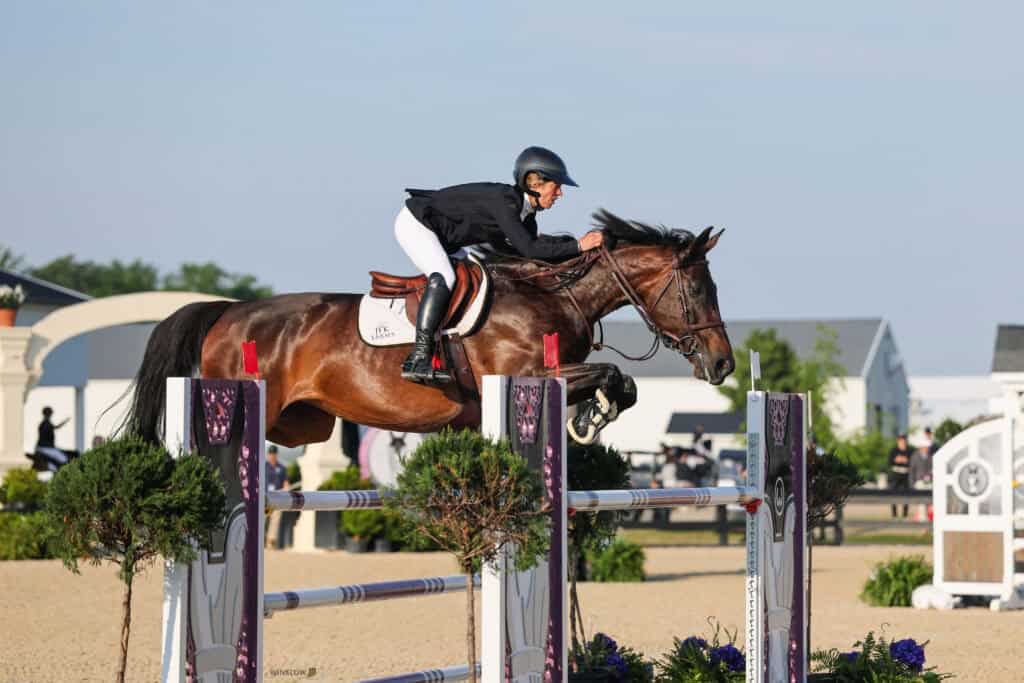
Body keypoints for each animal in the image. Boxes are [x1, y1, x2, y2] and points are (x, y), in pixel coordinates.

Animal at [125, 210, 734, 447]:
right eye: (699, 290)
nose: (724, 362)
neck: (551, 293)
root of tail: (228, 311)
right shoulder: (530, 373)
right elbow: (609, 373)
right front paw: (594, 415)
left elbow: (620, 382)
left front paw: (589, 419)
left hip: (303, 423)